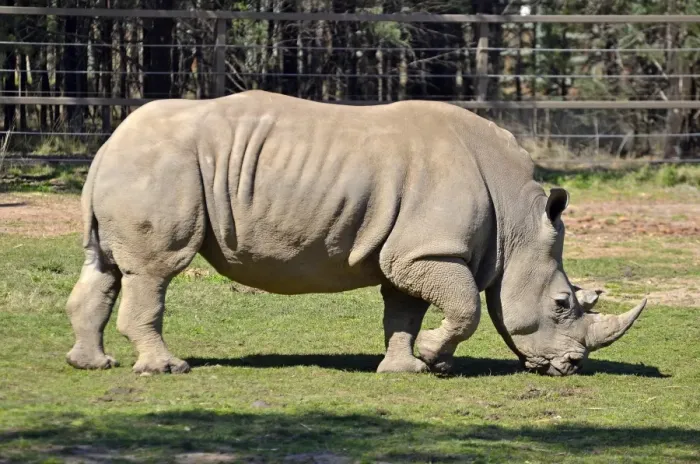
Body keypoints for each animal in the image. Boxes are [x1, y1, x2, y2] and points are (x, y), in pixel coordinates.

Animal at [65, 90, 646, 376]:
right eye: (562, 305)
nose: (570, 367)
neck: (517, 224)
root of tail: (110, 143)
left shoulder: (411, 253)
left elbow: (404, 313)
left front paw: (409, 368)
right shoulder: (429, 251)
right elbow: (465, 308)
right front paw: (433, 359)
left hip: (136, 168)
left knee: (104, 266)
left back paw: (93, 364)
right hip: (163, 166)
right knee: (155, 270)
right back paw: (167, 369)